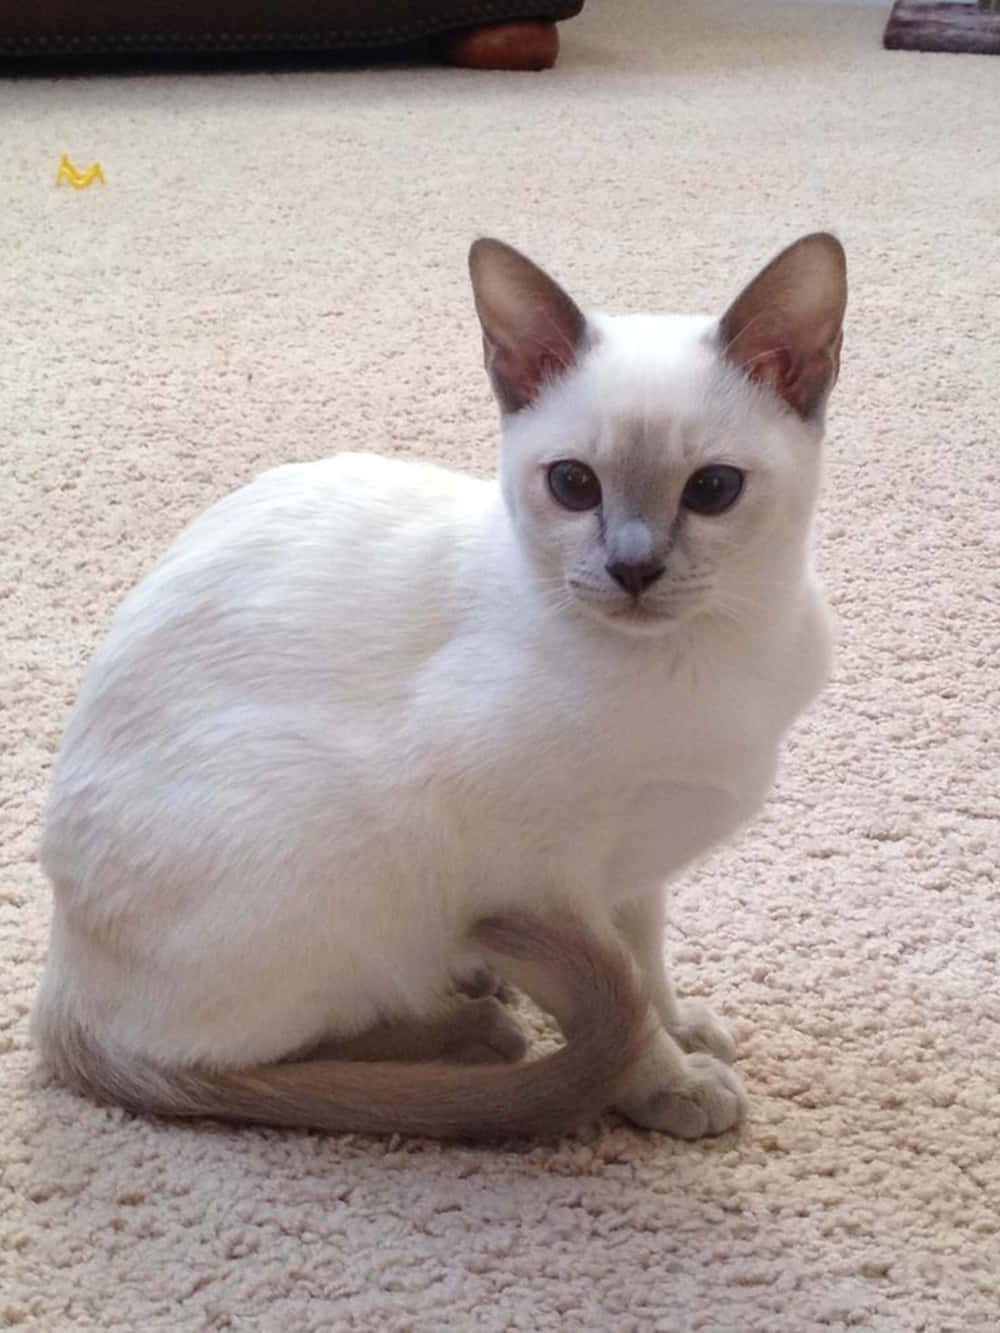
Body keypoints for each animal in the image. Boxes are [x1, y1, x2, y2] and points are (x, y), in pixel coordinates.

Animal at [31, 234, 848, 1141]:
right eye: (573, 485)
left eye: (711, 489)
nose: (633, 569)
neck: (706, 660)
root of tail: (58, 991)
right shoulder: (534, 880)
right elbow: (622, 1005)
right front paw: (671, 1081)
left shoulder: (635, 867)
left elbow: (645, 966)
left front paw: (682, 1026)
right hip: (346, 862)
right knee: (255, 1064)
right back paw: (475, 1028)